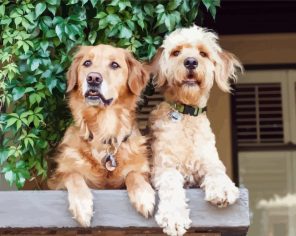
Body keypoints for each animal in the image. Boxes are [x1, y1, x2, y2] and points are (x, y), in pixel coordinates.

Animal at [48, 44, 155, 227]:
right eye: (87, 63)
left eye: (114, 65)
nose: (93, 78)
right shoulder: (57, 181)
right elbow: (73, 175)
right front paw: (82, 205)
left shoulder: (139, 171)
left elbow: (133, 174)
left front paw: (144, 195)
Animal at [147, 24, 243, 235]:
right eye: (176, 52)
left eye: (203, 53)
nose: (191, 61)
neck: (186, 115)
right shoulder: (163, 166)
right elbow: (171, 185)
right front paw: (174, 217)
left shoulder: (209, 160)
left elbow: (217, 170)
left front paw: (223, 188)